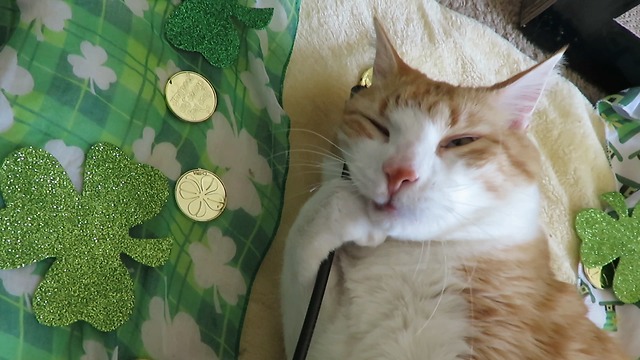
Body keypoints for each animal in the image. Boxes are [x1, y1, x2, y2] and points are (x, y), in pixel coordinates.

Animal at [282, 19, 632, 360]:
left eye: (461, 141)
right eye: (379, 126)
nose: (399, 173)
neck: (419, 260)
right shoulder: (321, 338)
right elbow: (306, 232)